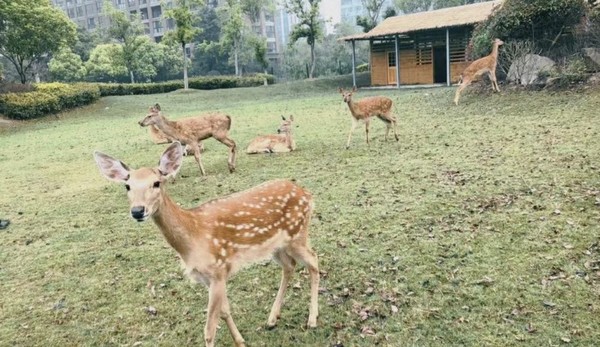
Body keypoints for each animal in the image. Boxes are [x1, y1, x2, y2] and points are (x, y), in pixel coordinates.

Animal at [94, 141, 318, 347]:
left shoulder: (217, 270)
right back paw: (272, 319)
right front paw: (240, 341)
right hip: (276, 246)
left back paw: (312, 320)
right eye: (127, 186)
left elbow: (209, 329)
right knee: (290, 266)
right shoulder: (209, 277)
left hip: (298, 234)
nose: (137, 211)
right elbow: (225, 312)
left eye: (157, 183)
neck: (192, 240)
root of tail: (307, 194)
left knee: (314, 261)